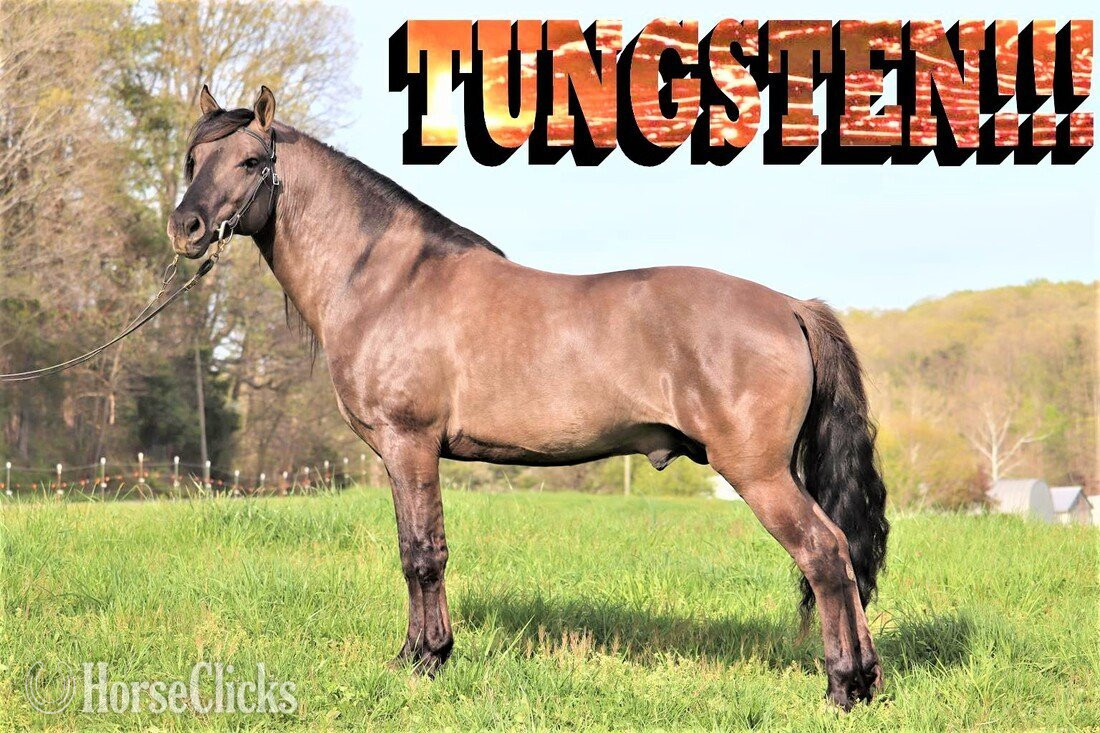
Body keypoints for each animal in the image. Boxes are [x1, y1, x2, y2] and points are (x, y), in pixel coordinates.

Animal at [168, 86, 889, 709]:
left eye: (252, 161)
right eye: (193, 160)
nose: (186, 227)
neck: (389, 282)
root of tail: (791, 306)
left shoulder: (409, 444)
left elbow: (422, 554)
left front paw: (424, 661)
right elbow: (416, 547)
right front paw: (423, 654)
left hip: (758, 473)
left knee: (826, 554)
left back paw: (842, 686)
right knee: (841, 556)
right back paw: (865, 680)